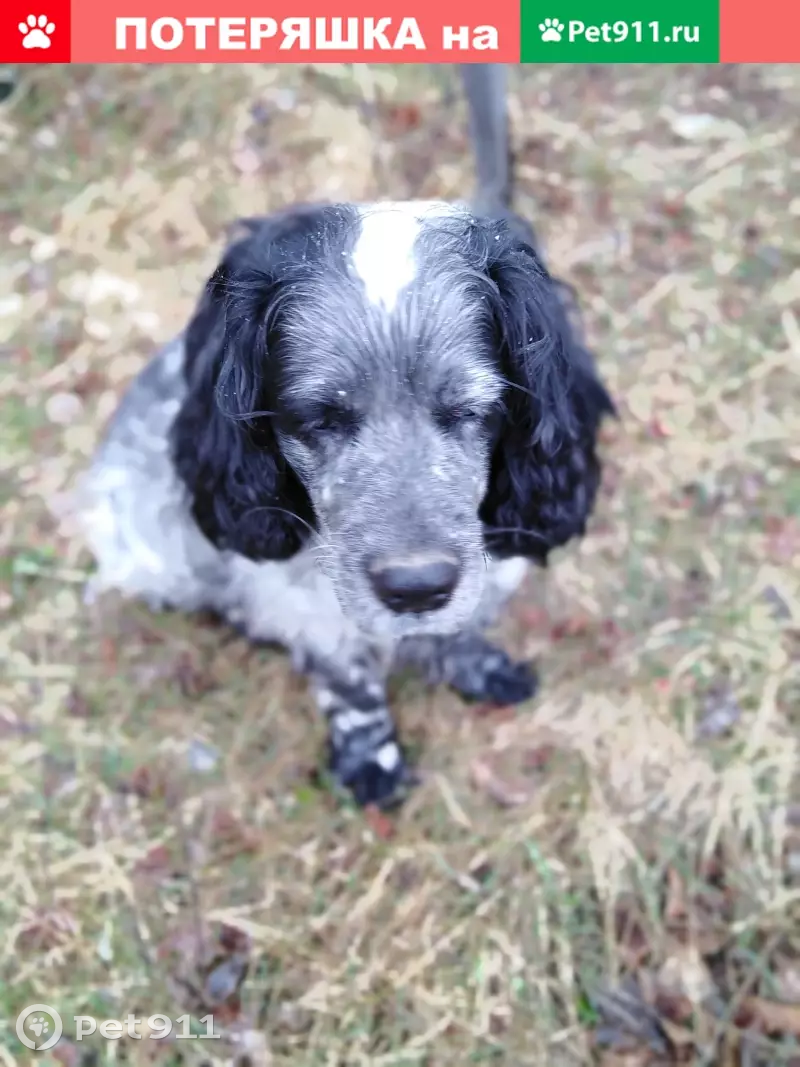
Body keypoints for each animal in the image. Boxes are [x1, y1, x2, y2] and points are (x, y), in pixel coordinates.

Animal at [79, 68, 615, 808]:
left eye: (472, 410)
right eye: (317, 419)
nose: (416, 588)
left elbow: (460, 624)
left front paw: (473, 663)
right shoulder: (306, 605)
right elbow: (349, 684)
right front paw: (372, 761)